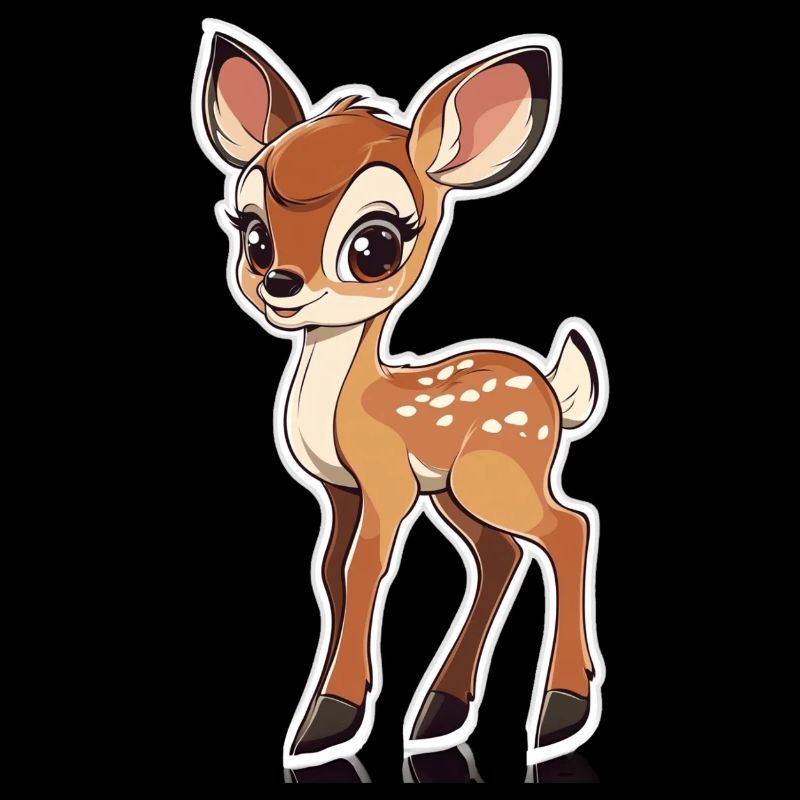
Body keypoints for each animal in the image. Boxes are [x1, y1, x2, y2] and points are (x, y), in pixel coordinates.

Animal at [192, 21, 608, 769]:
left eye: (375, 246)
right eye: (254, 235)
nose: (280, 284)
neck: (344, 406)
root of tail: (554, 391)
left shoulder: (384, 477)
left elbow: (366, 570)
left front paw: (329, 721)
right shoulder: (339, 488)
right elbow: (330, 573)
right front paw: (326, 711)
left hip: (497, 471)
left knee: (569, 527)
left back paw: (559, 714)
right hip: (454, 490)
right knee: (500, 554)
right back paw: (440, 714)